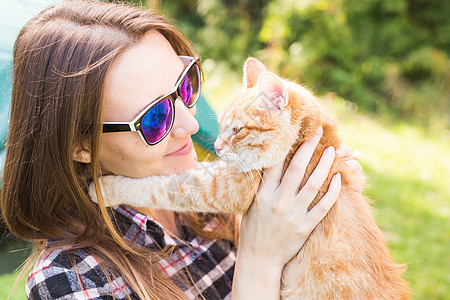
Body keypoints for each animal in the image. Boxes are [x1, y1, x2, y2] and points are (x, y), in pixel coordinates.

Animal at [90, 58, 408, 298]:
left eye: (237, 130)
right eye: (221, 127)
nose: (217, 147)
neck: (306, 141)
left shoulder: (225, 187)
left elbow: (162, 186)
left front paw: (106, 187)